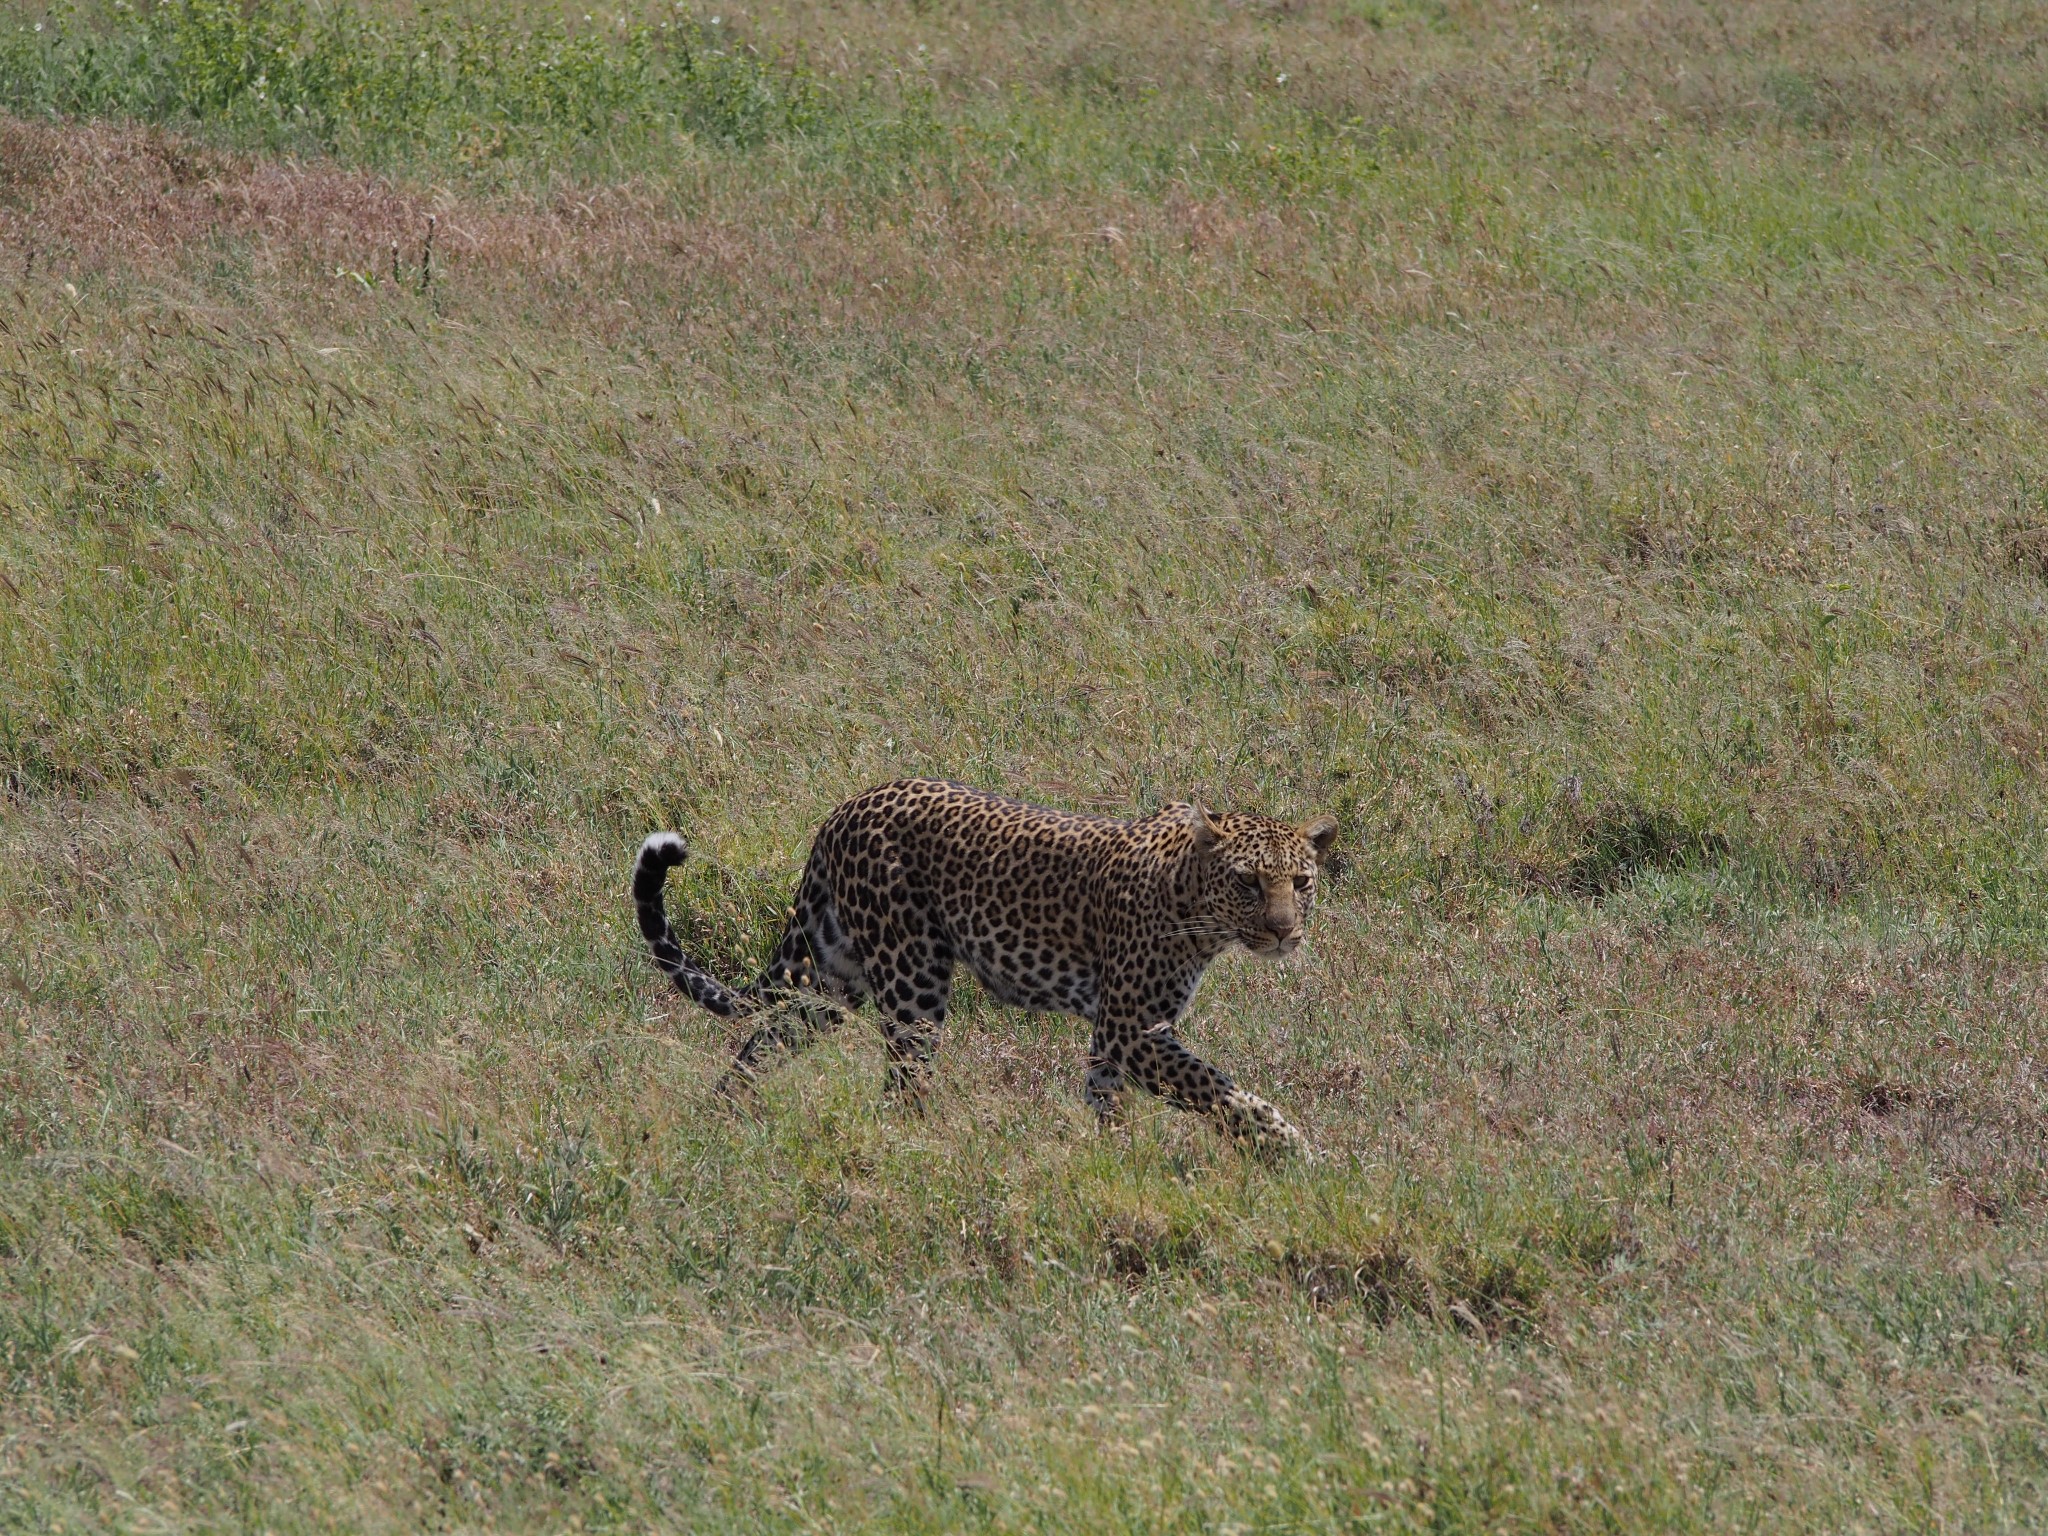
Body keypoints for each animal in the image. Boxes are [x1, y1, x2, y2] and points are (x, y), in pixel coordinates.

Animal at [638, 782, 1343, 1155]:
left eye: (1301, 882)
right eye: (1249, 883)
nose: (1284, 932)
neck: (1196, 906)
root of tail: (846, 809)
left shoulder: (1113, 1035)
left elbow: (1105, 1095)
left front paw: (1112, 1159)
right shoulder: (1134, 1027)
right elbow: (1219, 1089)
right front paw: (1296, 1151)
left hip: (832, 979)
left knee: (760, 1042)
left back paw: (724, 1120)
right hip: (911, 980)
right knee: (901, 1087)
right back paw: (926, 1154)